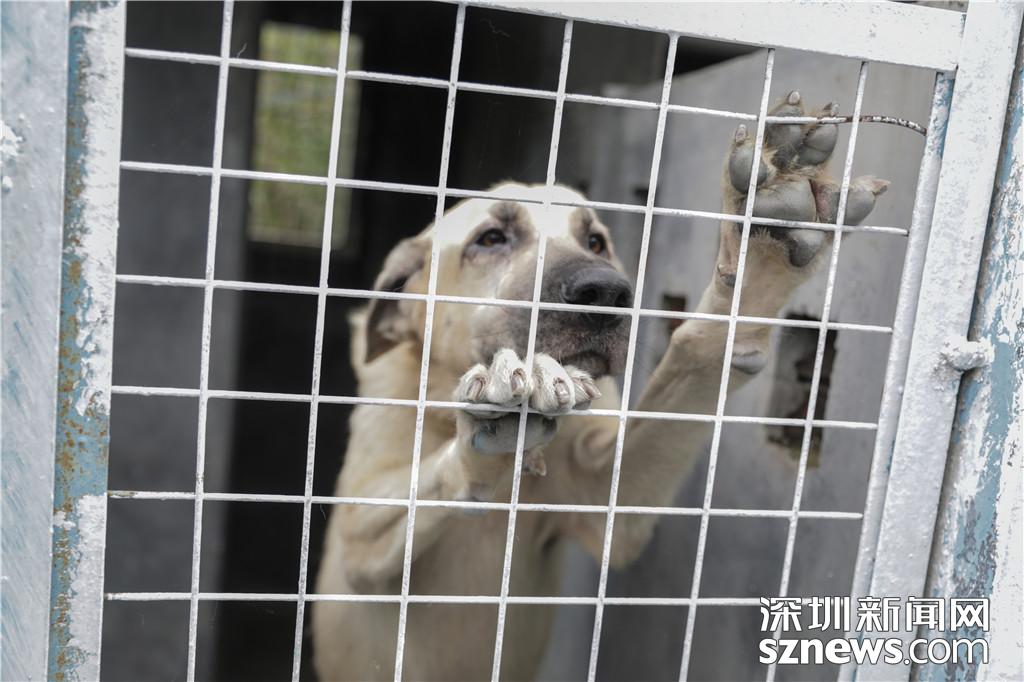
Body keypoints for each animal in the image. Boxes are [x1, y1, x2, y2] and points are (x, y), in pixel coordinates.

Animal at [312, 90, 888, 681]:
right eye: (491, 239)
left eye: (595, 241)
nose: (607, 292)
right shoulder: (357, 535)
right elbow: (431, 477)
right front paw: (489, 430)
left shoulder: (608, 494)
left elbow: (694, 357)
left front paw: (763, 252)